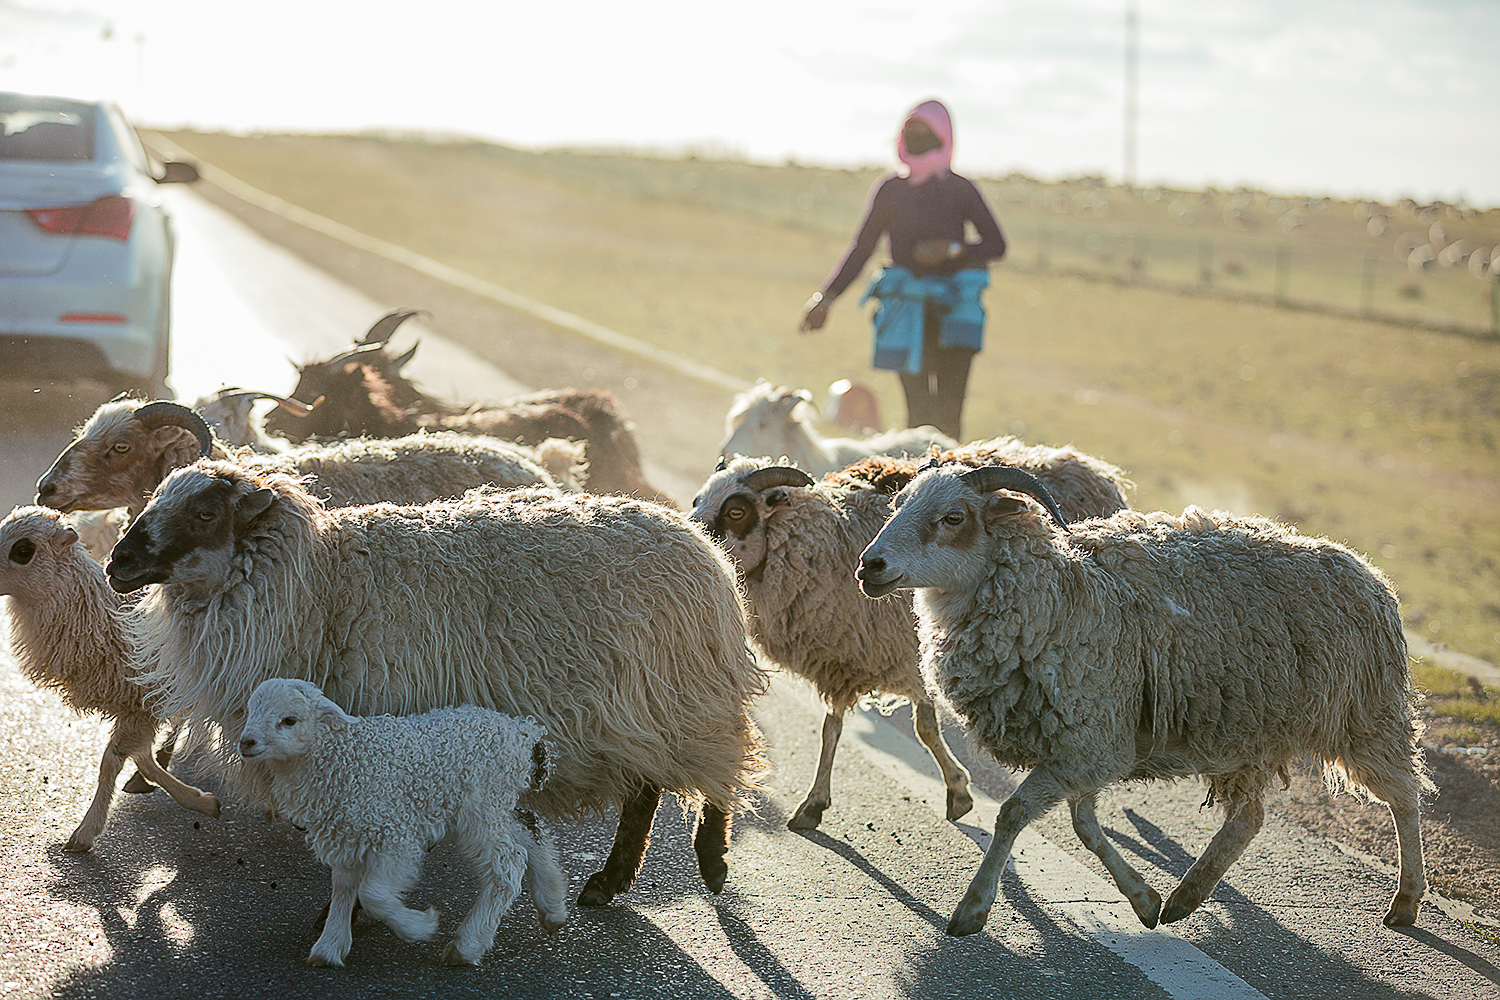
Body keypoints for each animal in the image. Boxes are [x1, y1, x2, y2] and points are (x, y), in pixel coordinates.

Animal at [0, 509, 220, 851]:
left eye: (23, 550)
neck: (102, 617)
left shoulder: (140, 702)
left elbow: (111, 763)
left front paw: (85, 832)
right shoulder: (138, 706)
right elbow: (142, 759)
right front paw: (199, 801)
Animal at [102, 464, 774, 911]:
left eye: (205, 513)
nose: (116, 562)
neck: (322, 585)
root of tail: (700, 543)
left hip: (681, 700)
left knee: (703, 775)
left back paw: (702, 863)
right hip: (640, 712)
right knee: (646, 789)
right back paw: (613, 882)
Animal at [240, 677, 567, 965]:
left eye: (289, 720)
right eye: (250, 710)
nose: (246, 742)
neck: (344, 758)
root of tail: (523, 732)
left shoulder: (394, 833)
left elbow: (371, 894)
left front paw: (420, 926)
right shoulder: (346, 832)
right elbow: (343, 886)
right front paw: (329, 946)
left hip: (483, 806)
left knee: (508, 864)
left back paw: (466, 946)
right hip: (494, 806)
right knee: (528, 827)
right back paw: (552, 907)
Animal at [858, 464, 1428, 935]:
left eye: (953, 517)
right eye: (897, 504)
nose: (869, 566)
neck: (1055, 596)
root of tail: (1368, 571)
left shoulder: (1088, 744)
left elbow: (1014, 814)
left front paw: (972, 909)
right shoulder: (1087, 747)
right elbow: (1085, 826)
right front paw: (1144, 899)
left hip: (1364, 715)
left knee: (1404, 797)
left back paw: (1405, 902)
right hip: (1248, 732)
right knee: (1248, 819)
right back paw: (1186, 896)